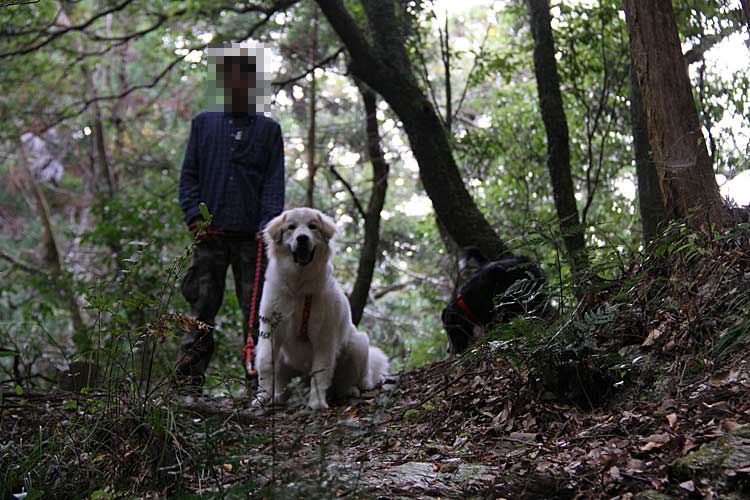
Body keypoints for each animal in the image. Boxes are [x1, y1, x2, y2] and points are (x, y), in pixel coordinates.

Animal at [254, 208, 390, 410]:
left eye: (312, 227)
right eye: (291, 227)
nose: (302, 238)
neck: (299, 287)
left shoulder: (324, 338)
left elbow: (320, 371)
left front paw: (317, 403)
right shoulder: (270, 329)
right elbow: (265, 362)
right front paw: (262, 398)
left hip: (359, 344)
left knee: (356, 381)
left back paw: (351, 390)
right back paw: (278, 397)